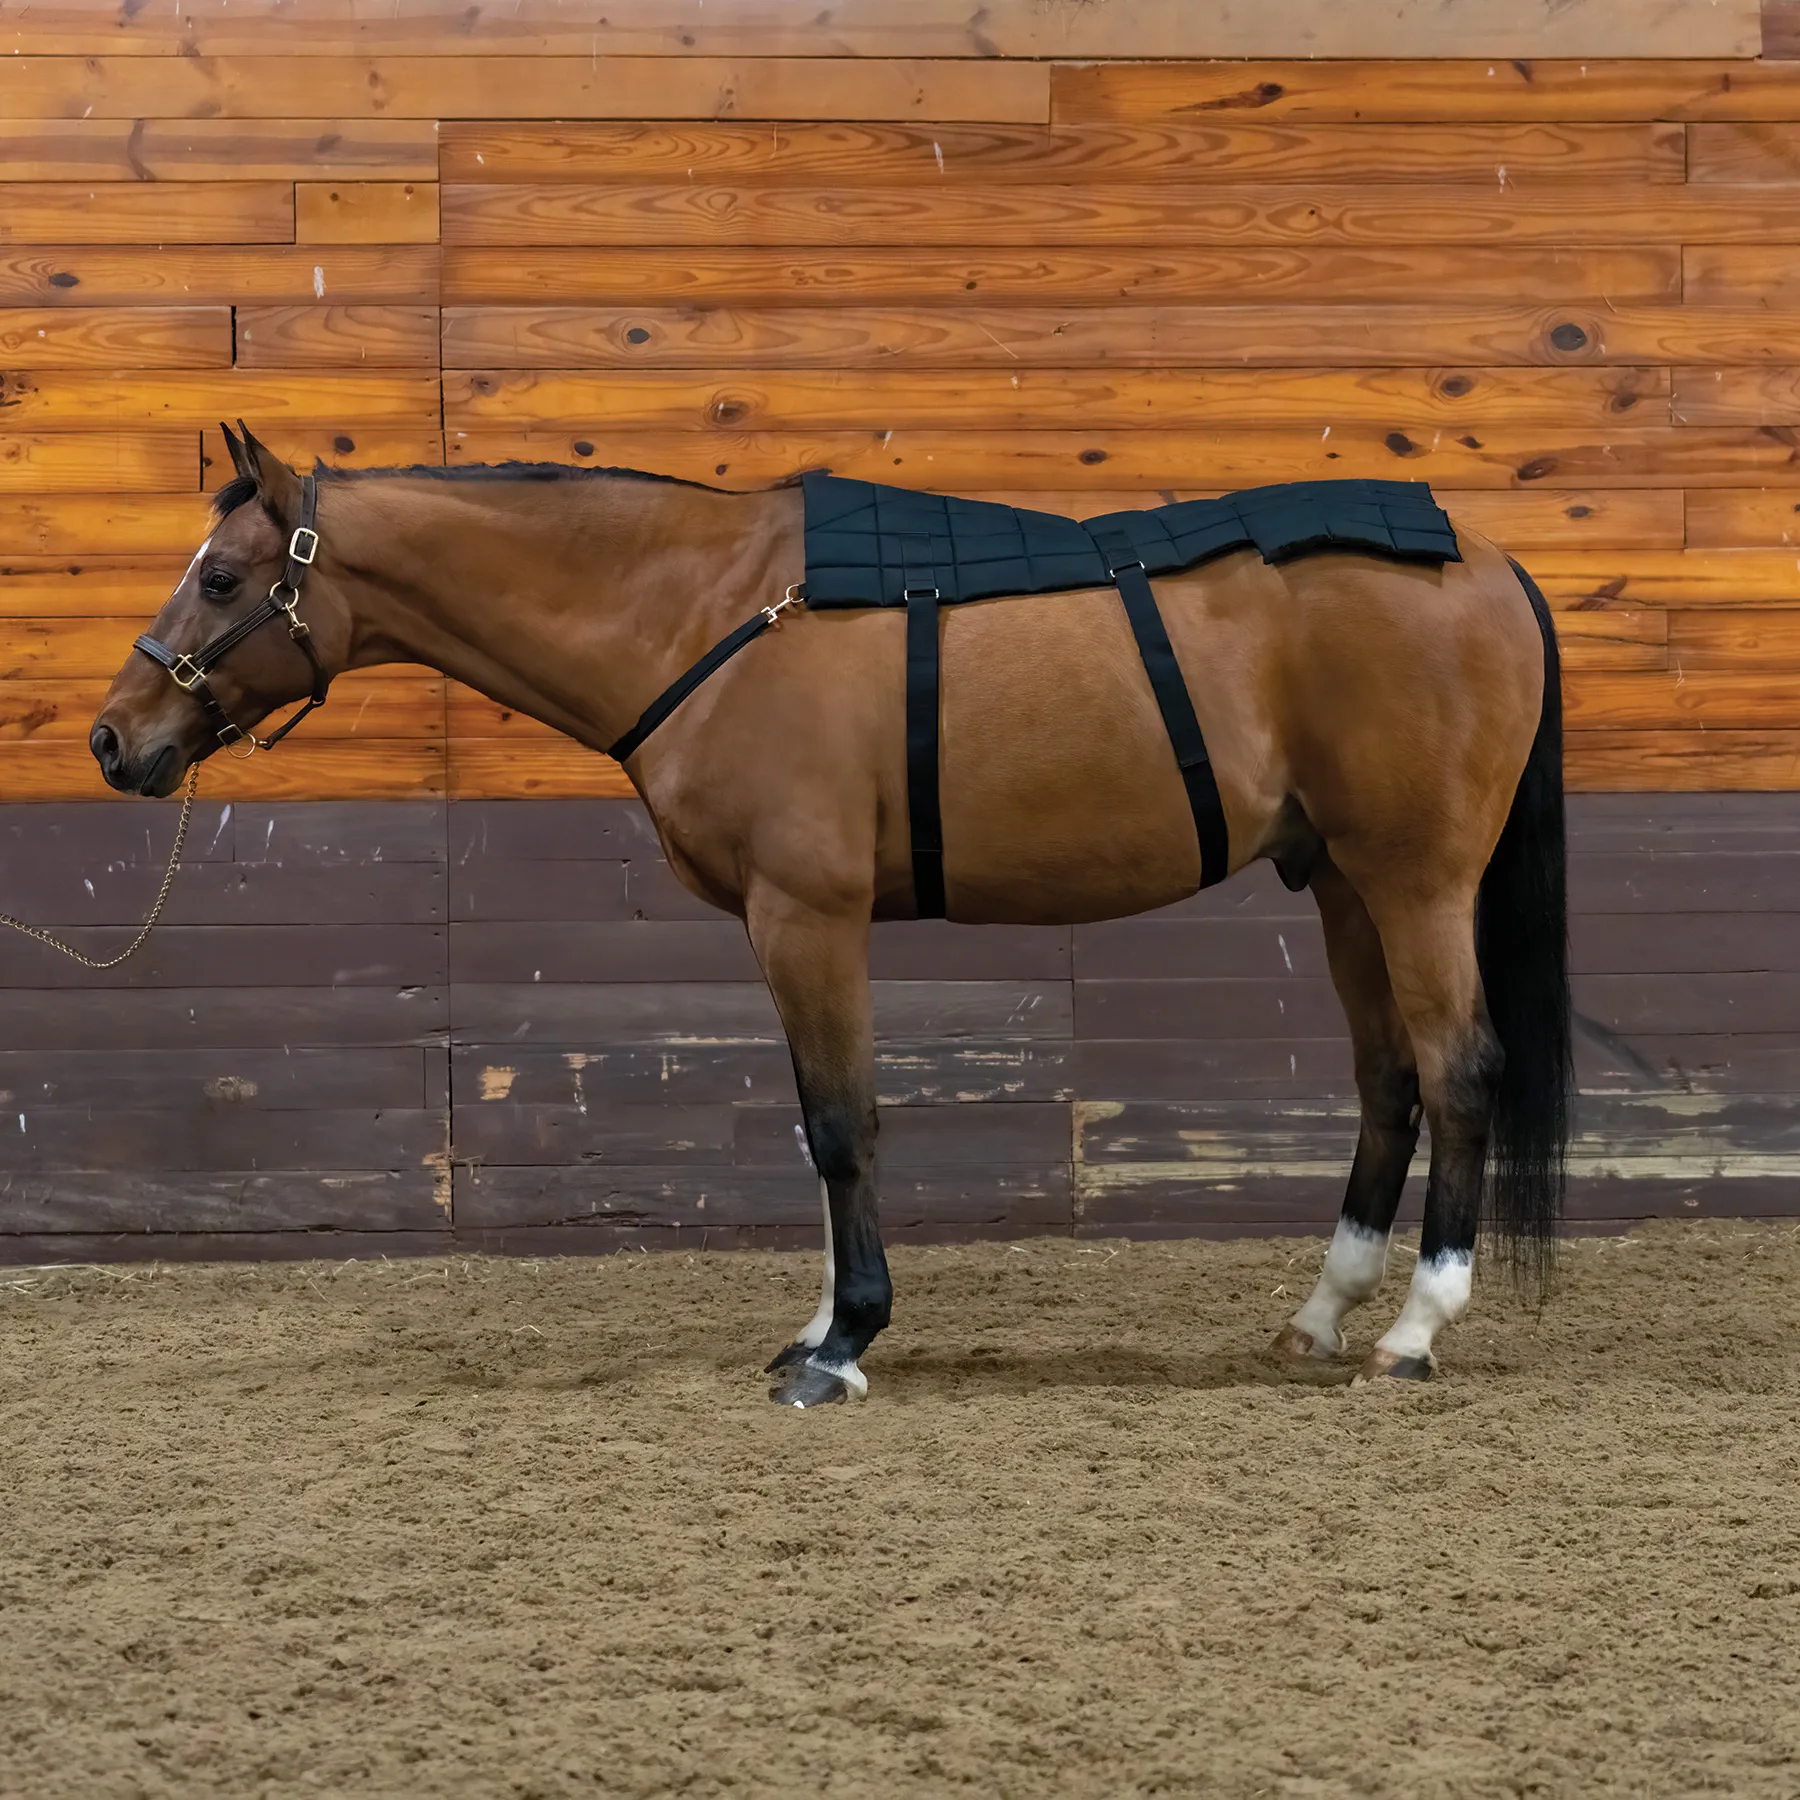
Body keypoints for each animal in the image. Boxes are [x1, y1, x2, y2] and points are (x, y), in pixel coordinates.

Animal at [91, 426, 1571, 1407]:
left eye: (221, 579)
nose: (117, 739)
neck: (709, 610)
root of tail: (1489, 563)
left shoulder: (807, 915)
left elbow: (842, 1127)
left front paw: (846, 1346)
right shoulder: (789, 926)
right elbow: (819, 1136)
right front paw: (818, 1331)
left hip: (1416, 881)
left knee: (1457, 1071)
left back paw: (1416, 1330)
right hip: (1341, 885)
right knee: (1388, 1082)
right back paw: (1321, 1319)